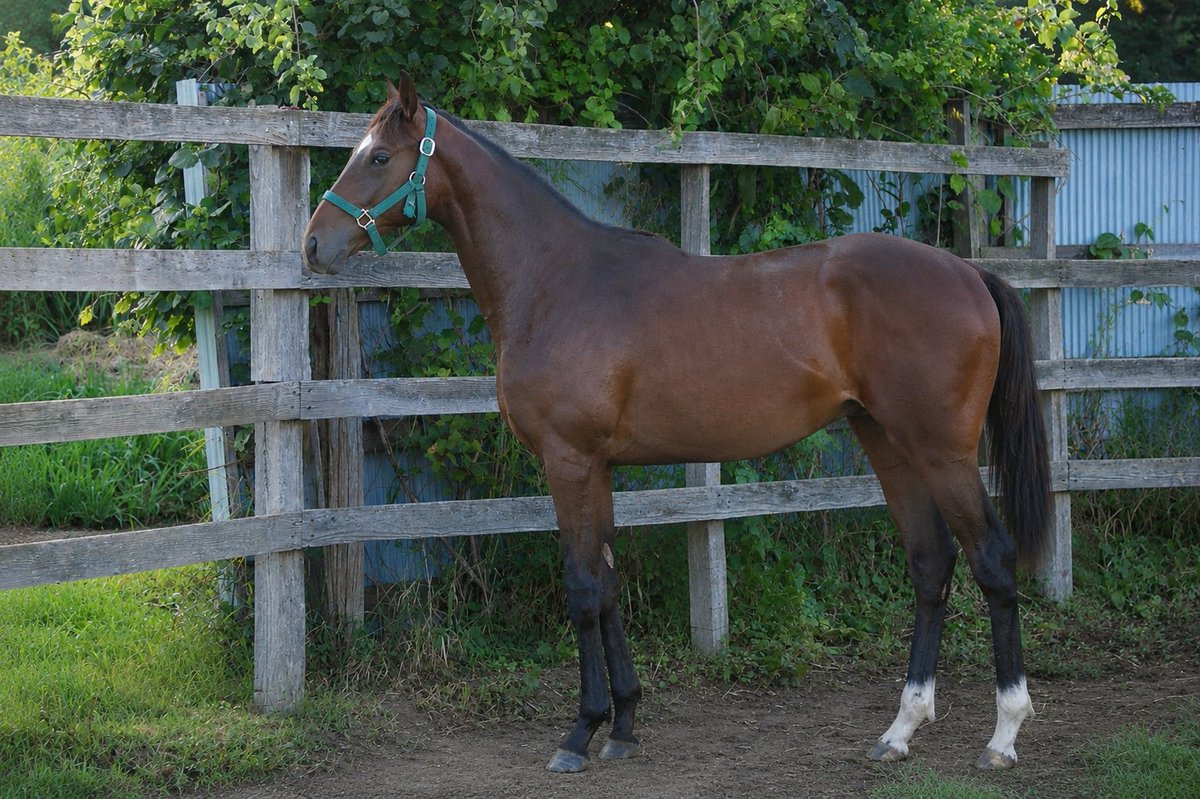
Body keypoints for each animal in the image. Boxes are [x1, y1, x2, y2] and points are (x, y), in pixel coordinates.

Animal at [302, 74, 1051, 774]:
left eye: (378, 156)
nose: (313, 244)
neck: (555, 282)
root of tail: (967, 273)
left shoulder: (568, 461)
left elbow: (581, 587)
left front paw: (580, 731)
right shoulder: (597, 467)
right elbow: (606, 585)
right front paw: (624, 724)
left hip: (942, 453)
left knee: (991, 560)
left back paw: (1004, 734)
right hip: (889, 444)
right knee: (930, 564)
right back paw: (900, 729)